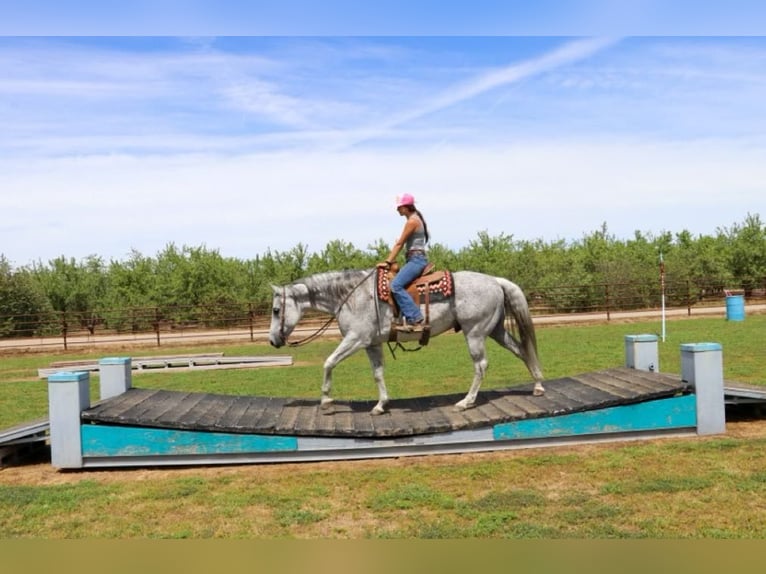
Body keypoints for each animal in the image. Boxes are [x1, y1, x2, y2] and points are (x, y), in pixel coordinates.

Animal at [272, 270, 544, 414]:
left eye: (276, 310)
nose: (274, 340)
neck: (352, 297)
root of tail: (495, 280)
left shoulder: (355, 339)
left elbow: (328, 362)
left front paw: (326, 401)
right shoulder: (371, 344)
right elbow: (378, 374)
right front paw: (381, 405)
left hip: (475, 333)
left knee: (481, 366)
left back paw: (466, 402)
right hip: (495, 330)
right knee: (522, 350)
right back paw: (538, 386)